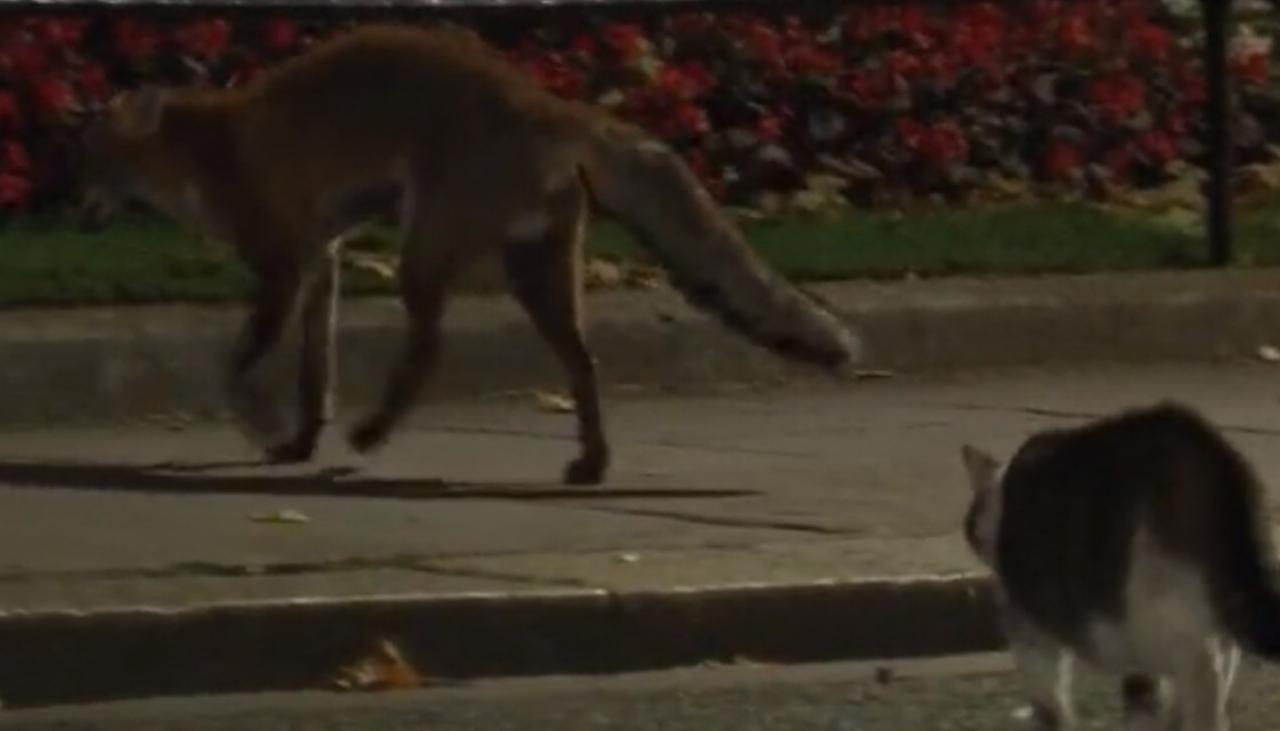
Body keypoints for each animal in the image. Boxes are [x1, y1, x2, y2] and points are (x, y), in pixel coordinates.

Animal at [77, 24, 860, 486]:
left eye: (89, 163)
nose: (75, 214)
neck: (209, 150)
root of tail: (549, 101)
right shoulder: (322, 260)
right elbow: (314, 373)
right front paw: (299, 441)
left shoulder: (284, 262)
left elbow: (236, 368)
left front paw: (267, 428)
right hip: (536, 276)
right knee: (585, 364)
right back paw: (591, 462)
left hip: (424, 257)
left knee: (429, 349)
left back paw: (375, 433)